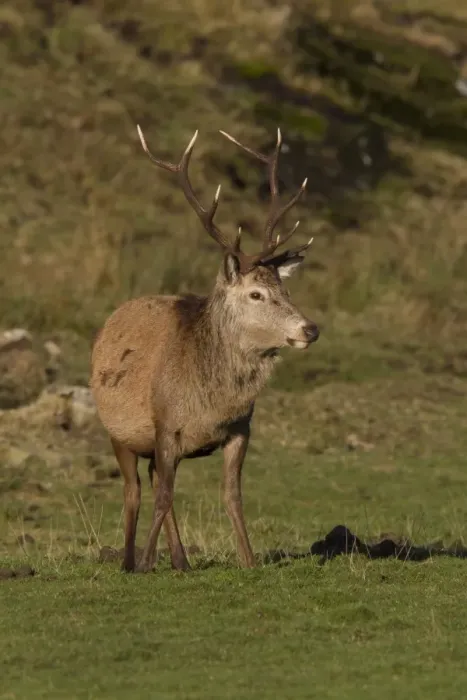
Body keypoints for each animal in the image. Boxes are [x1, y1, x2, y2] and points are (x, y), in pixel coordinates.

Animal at [90, 124, 319, 574]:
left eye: (285, 289)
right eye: (255, 294)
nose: (310, 328)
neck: (211, 405)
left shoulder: (241, 430)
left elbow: (231, 495)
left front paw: (249, 560)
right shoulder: (165, 425)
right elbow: (162, 495)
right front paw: (146, 563)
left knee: (156, 480)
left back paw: (180, 561)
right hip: (118, 432)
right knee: (135, 489)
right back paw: (129, 560)